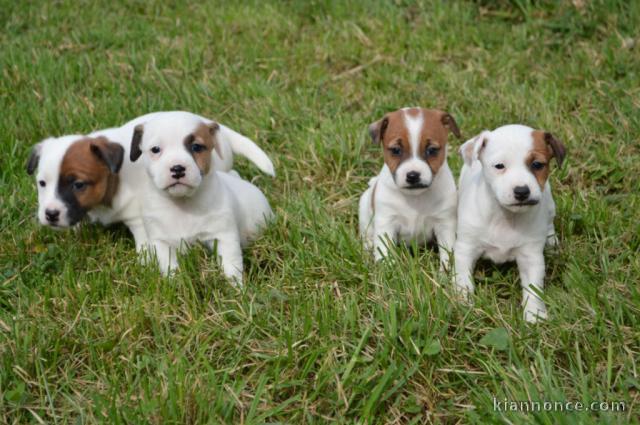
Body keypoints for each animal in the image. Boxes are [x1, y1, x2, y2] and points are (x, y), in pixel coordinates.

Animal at [129, 111, 272, 284]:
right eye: (155, 149)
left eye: (196, 147)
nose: (177, 168)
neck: (183, 203)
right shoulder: (161, 243)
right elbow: (170, 267)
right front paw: (175, 283)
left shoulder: (224, 237)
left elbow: (231, 266)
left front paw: (236, 287)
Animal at [360, 107, 460, 266]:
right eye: (396, 150)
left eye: (432, 150)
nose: (413, 175)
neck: (415, 198)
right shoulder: (386, 223)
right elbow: (384, 250)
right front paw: (387, 268)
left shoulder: (444, 224)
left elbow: (447, 251)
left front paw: (447, 270)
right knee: (367, 235)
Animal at [452, 122, 568, 322]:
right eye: (499, 166)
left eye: (537, 165)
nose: (522, 191)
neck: (504, 217)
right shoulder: (465, 249)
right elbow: (463, 279)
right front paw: (463, 303)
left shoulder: (531, 257)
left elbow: (533, 289)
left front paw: (534, 315)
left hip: (550, 205)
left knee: (550, 224)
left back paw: (552, 243)